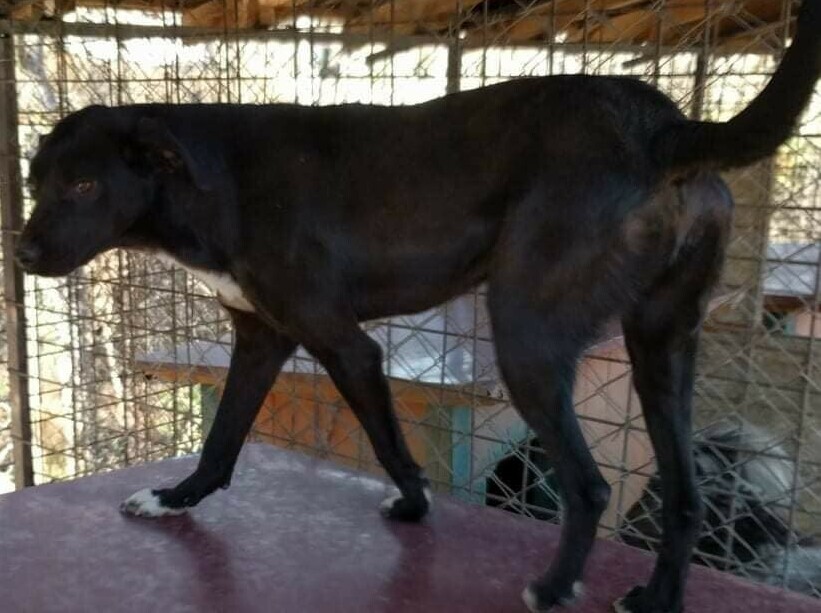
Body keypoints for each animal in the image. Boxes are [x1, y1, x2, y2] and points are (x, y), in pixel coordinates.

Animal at [17, 2, 820, 608]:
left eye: (84, 186)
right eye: (35, 181)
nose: (20, 256)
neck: (212, 181)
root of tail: (660, 126)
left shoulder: (344, 343)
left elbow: (386, 439)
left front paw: (412, 504)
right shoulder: (263, 338)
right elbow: (221, 442)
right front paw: (174, 498)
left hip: (527, 341)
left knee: (589, 485)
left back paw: (554, 586)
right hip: (663, 344)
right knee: (685, 495)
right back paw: (655, 597)